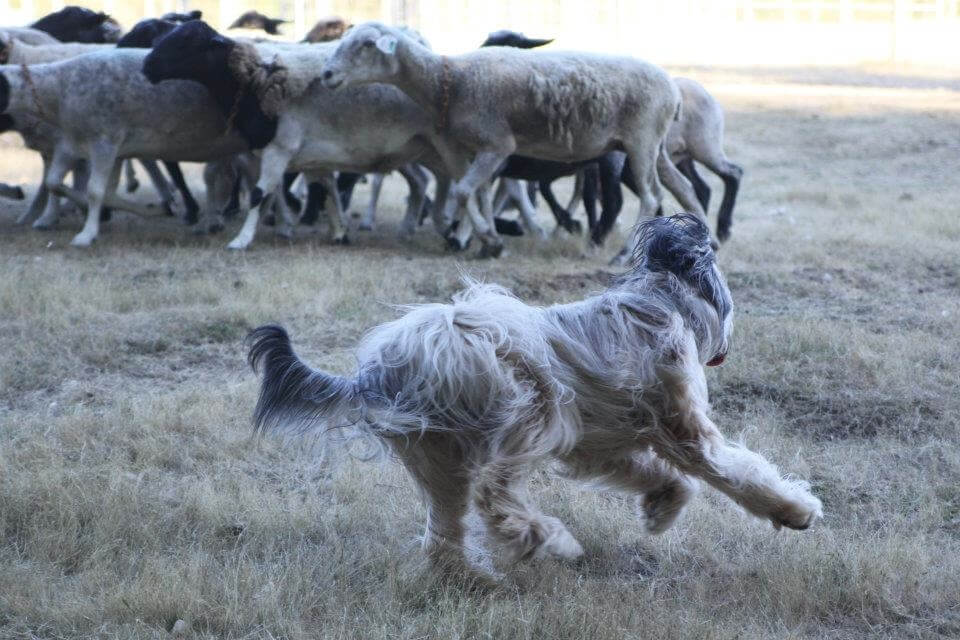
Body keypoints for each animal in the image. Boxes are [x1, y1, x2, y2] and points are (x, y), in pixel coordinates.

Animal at [0, 47, 251, 246]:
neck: (59, 88)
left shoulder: (105, 141)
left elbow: (94, 191)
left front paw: (86, 234)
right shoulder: (73, 144)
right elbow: (56, 183)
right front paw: (155, 209)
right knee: (222, 177)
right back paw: (212, 222)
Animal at [144, 20, 452, 250]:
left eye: (186, 41)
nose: (146, 66)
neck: (259, 82)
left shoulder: (281, 147)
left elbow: (258, 194)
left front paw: (241, 240)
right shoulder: (312, 152)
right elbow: (325, 189)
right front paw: (338, 232)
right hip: (414, 149)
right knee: (427, 181)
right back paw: (421, 228)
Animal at [246, 214, 816, 576]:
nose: (726, 344)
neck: (662, 301)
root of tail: (381, 372)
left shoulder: (599, 446)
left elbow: (653, 472)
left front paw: (661, 507)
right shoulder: (682, 425)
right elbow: (732, 470)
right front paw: (794, 510)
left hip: (437, 453)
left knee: (444, 528)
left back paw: (470, 575)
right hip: (528, 403)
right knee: (492, 493)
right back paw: (547, 539)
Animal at [320, 22, 704, 258]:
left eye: (367, 45)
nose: (326, 74)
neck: (450, 79)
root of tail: (672, 89)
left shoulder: (498, 145)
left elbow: (463, 192)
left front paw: (486, 239)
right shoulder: (477, 150)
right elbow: (480, 195)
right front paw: (486, 241)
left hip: (640, 140)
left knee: (651, 197)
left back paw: (622, 255)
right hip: (654, 146)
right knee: (684, 188)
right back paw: (706, 245)